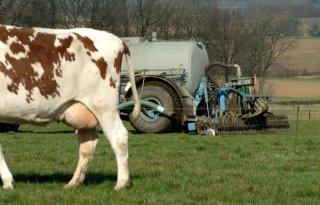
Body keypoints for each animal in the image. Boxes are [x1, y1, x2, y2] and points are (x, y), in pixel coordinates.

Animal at [0, 25, 141, 191]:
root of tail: (119, 40)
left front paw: (8, 182)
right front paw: (8, 181)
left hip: (104, 106)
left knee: (119, 137)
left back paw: (121, 183)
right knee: (88, 144)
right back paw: (74, 182)